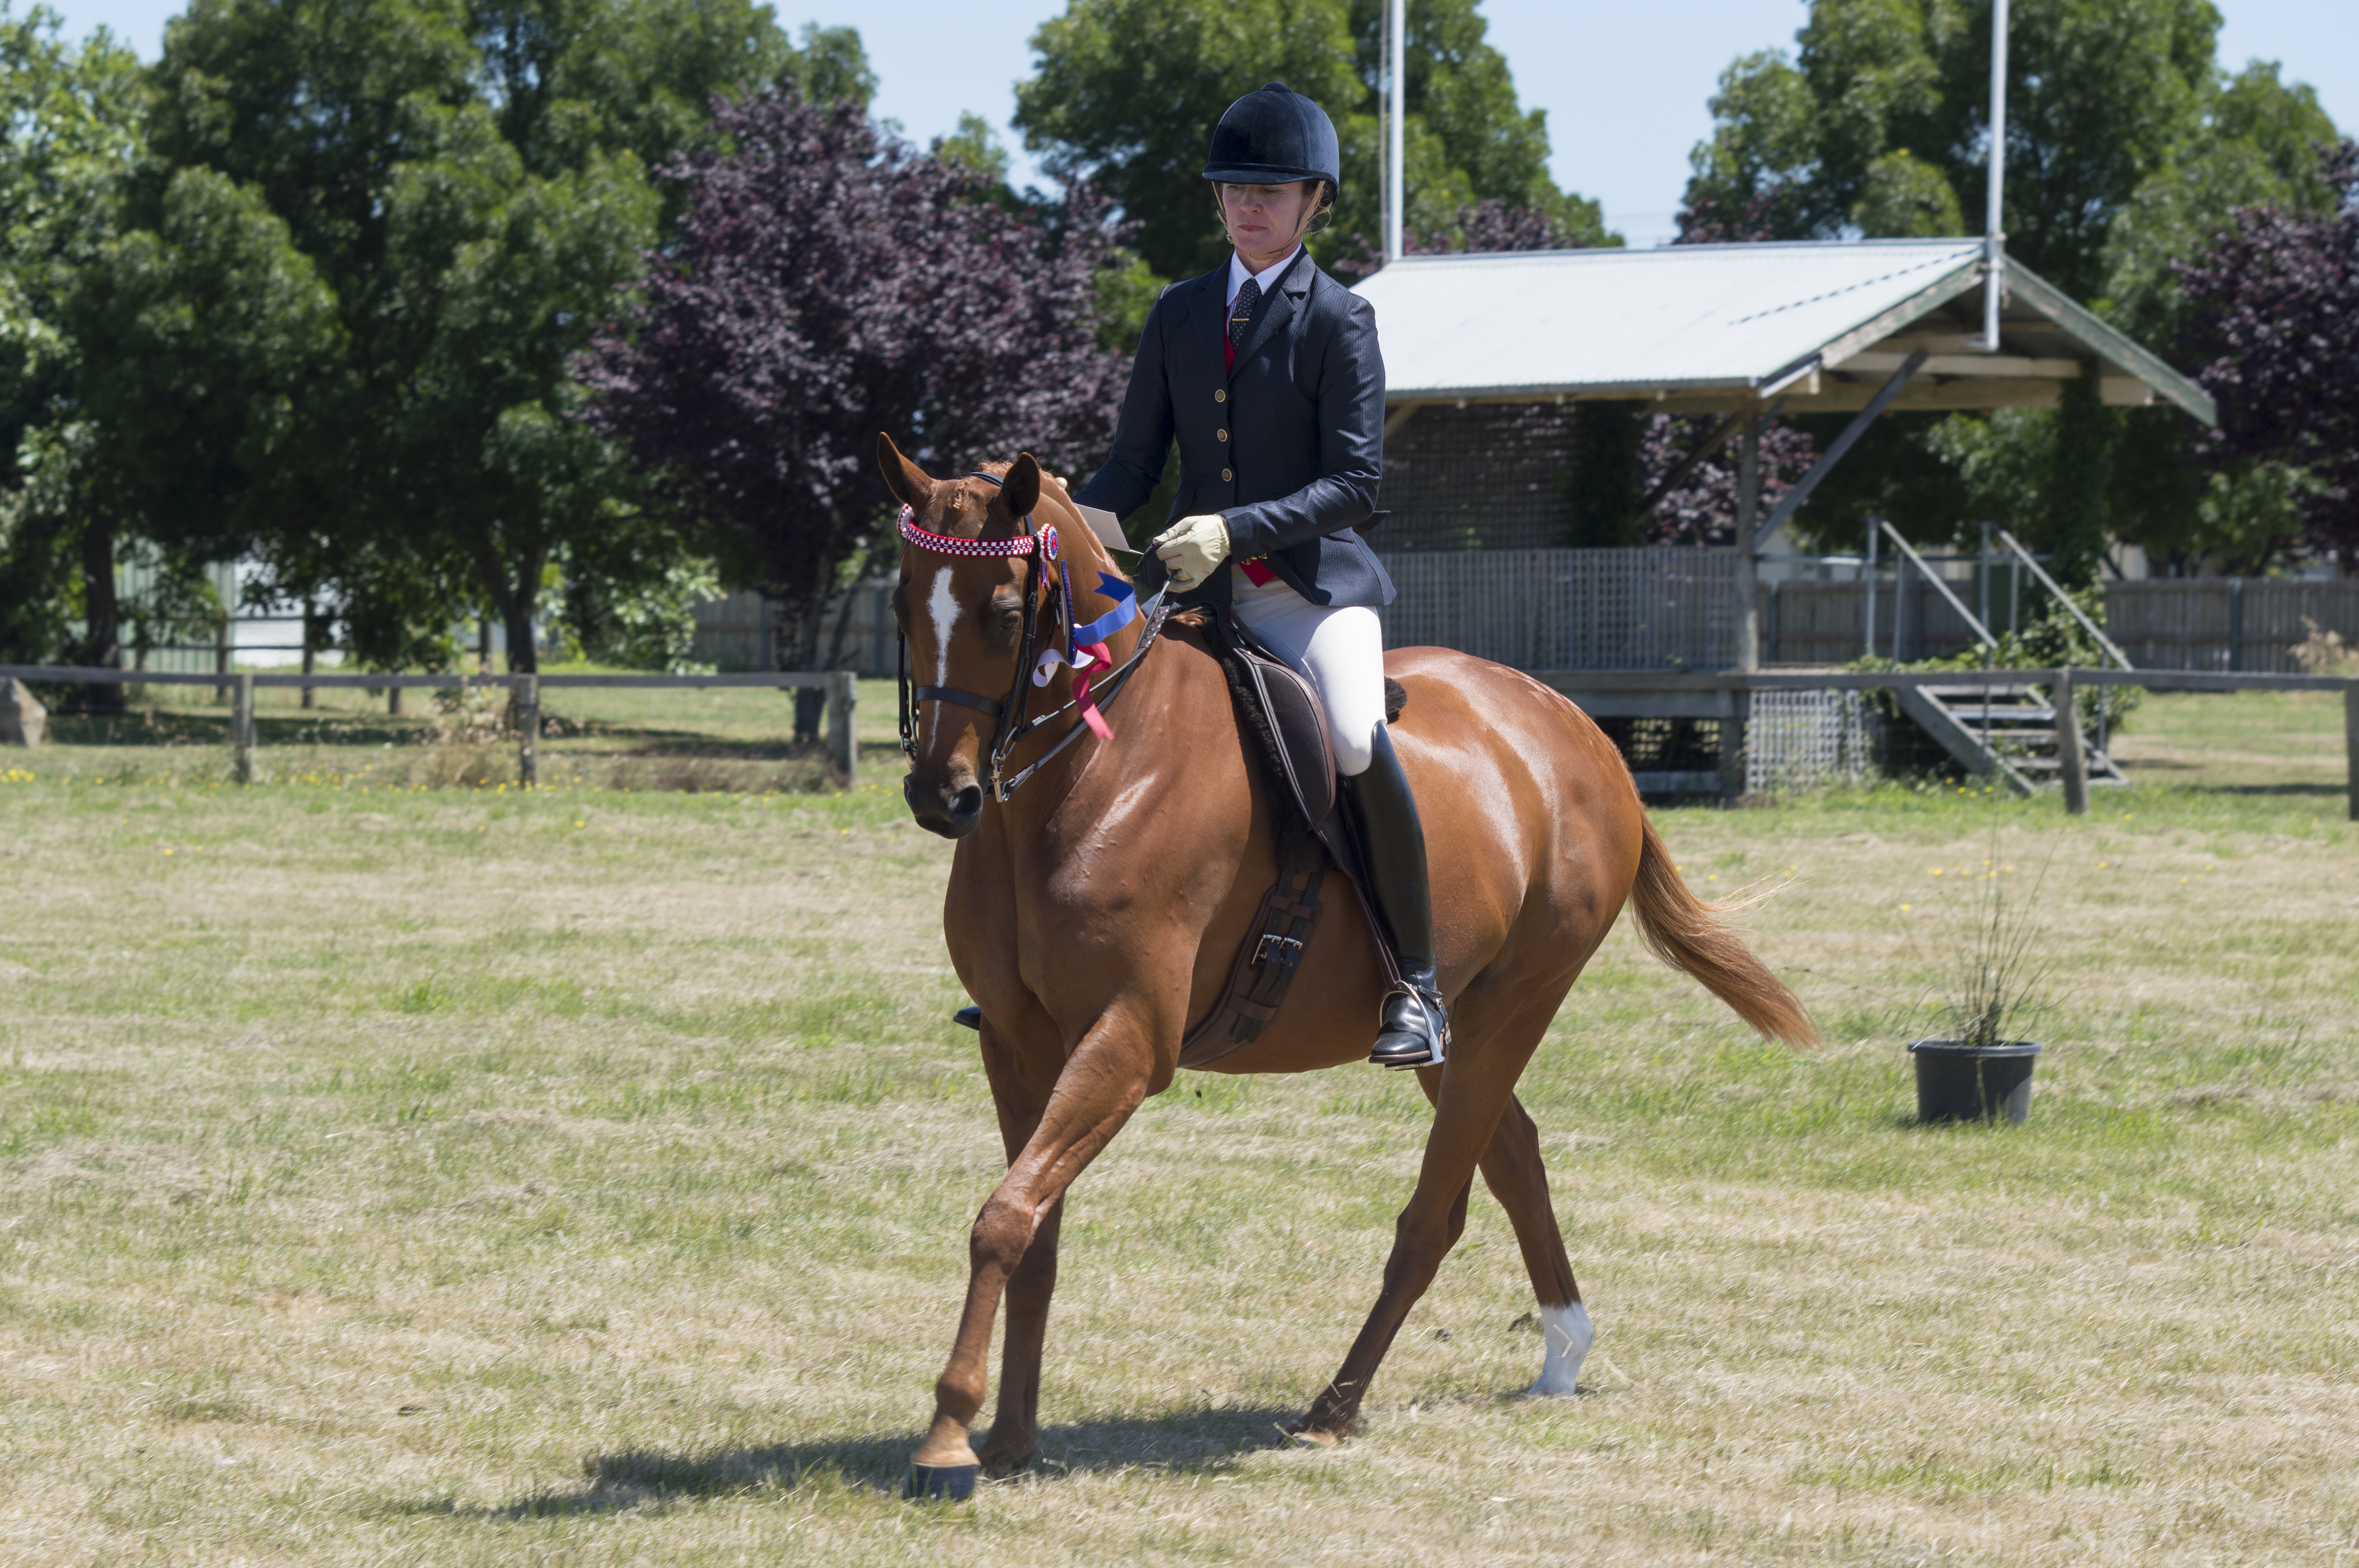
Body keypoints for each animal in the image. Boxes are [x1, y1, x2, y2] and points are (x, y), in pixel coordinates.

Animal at [878, 435, 1815, 1496]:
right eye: (905, 605)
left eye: (1004, 612)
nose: (941, 796)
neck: (1089, 775)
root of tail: (1582, 735)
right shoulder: (1016, 1040)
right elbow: (1032, 1223)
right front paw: (1007, 1435)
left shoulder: (1127, 1039)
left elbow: (1003, 1216)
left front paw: (947, 1434)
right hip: (1458, 1030)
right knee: (1513, 1156)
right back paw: (1561, 1354)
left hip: (1513, 1007)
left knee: (1433, 1214)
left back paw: (1333, 1407)